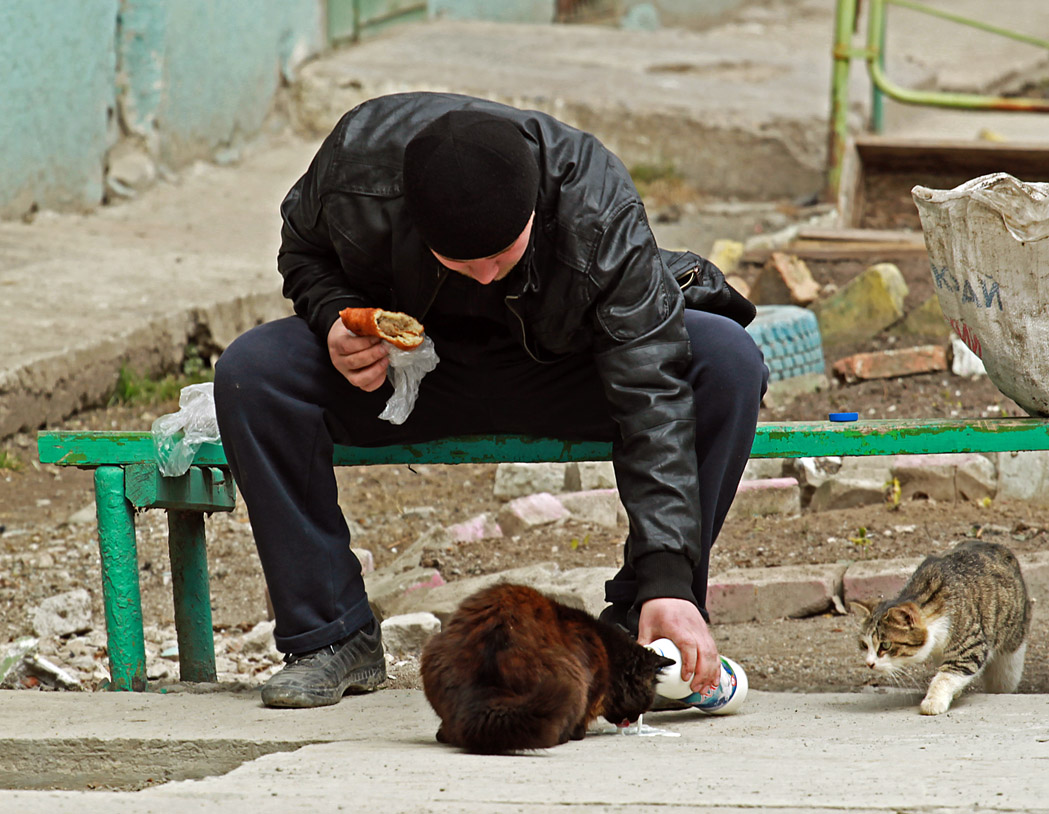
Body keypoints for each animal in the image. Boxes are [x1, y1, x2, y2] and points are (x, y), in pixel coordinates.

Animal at [851, 537, 1032, 717]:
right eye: (864, 645)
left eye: (885, 645)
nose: (869, 663)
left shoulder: (969, 648)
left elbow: (946, 676)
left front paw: (934, 700)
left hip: (1010, 654)